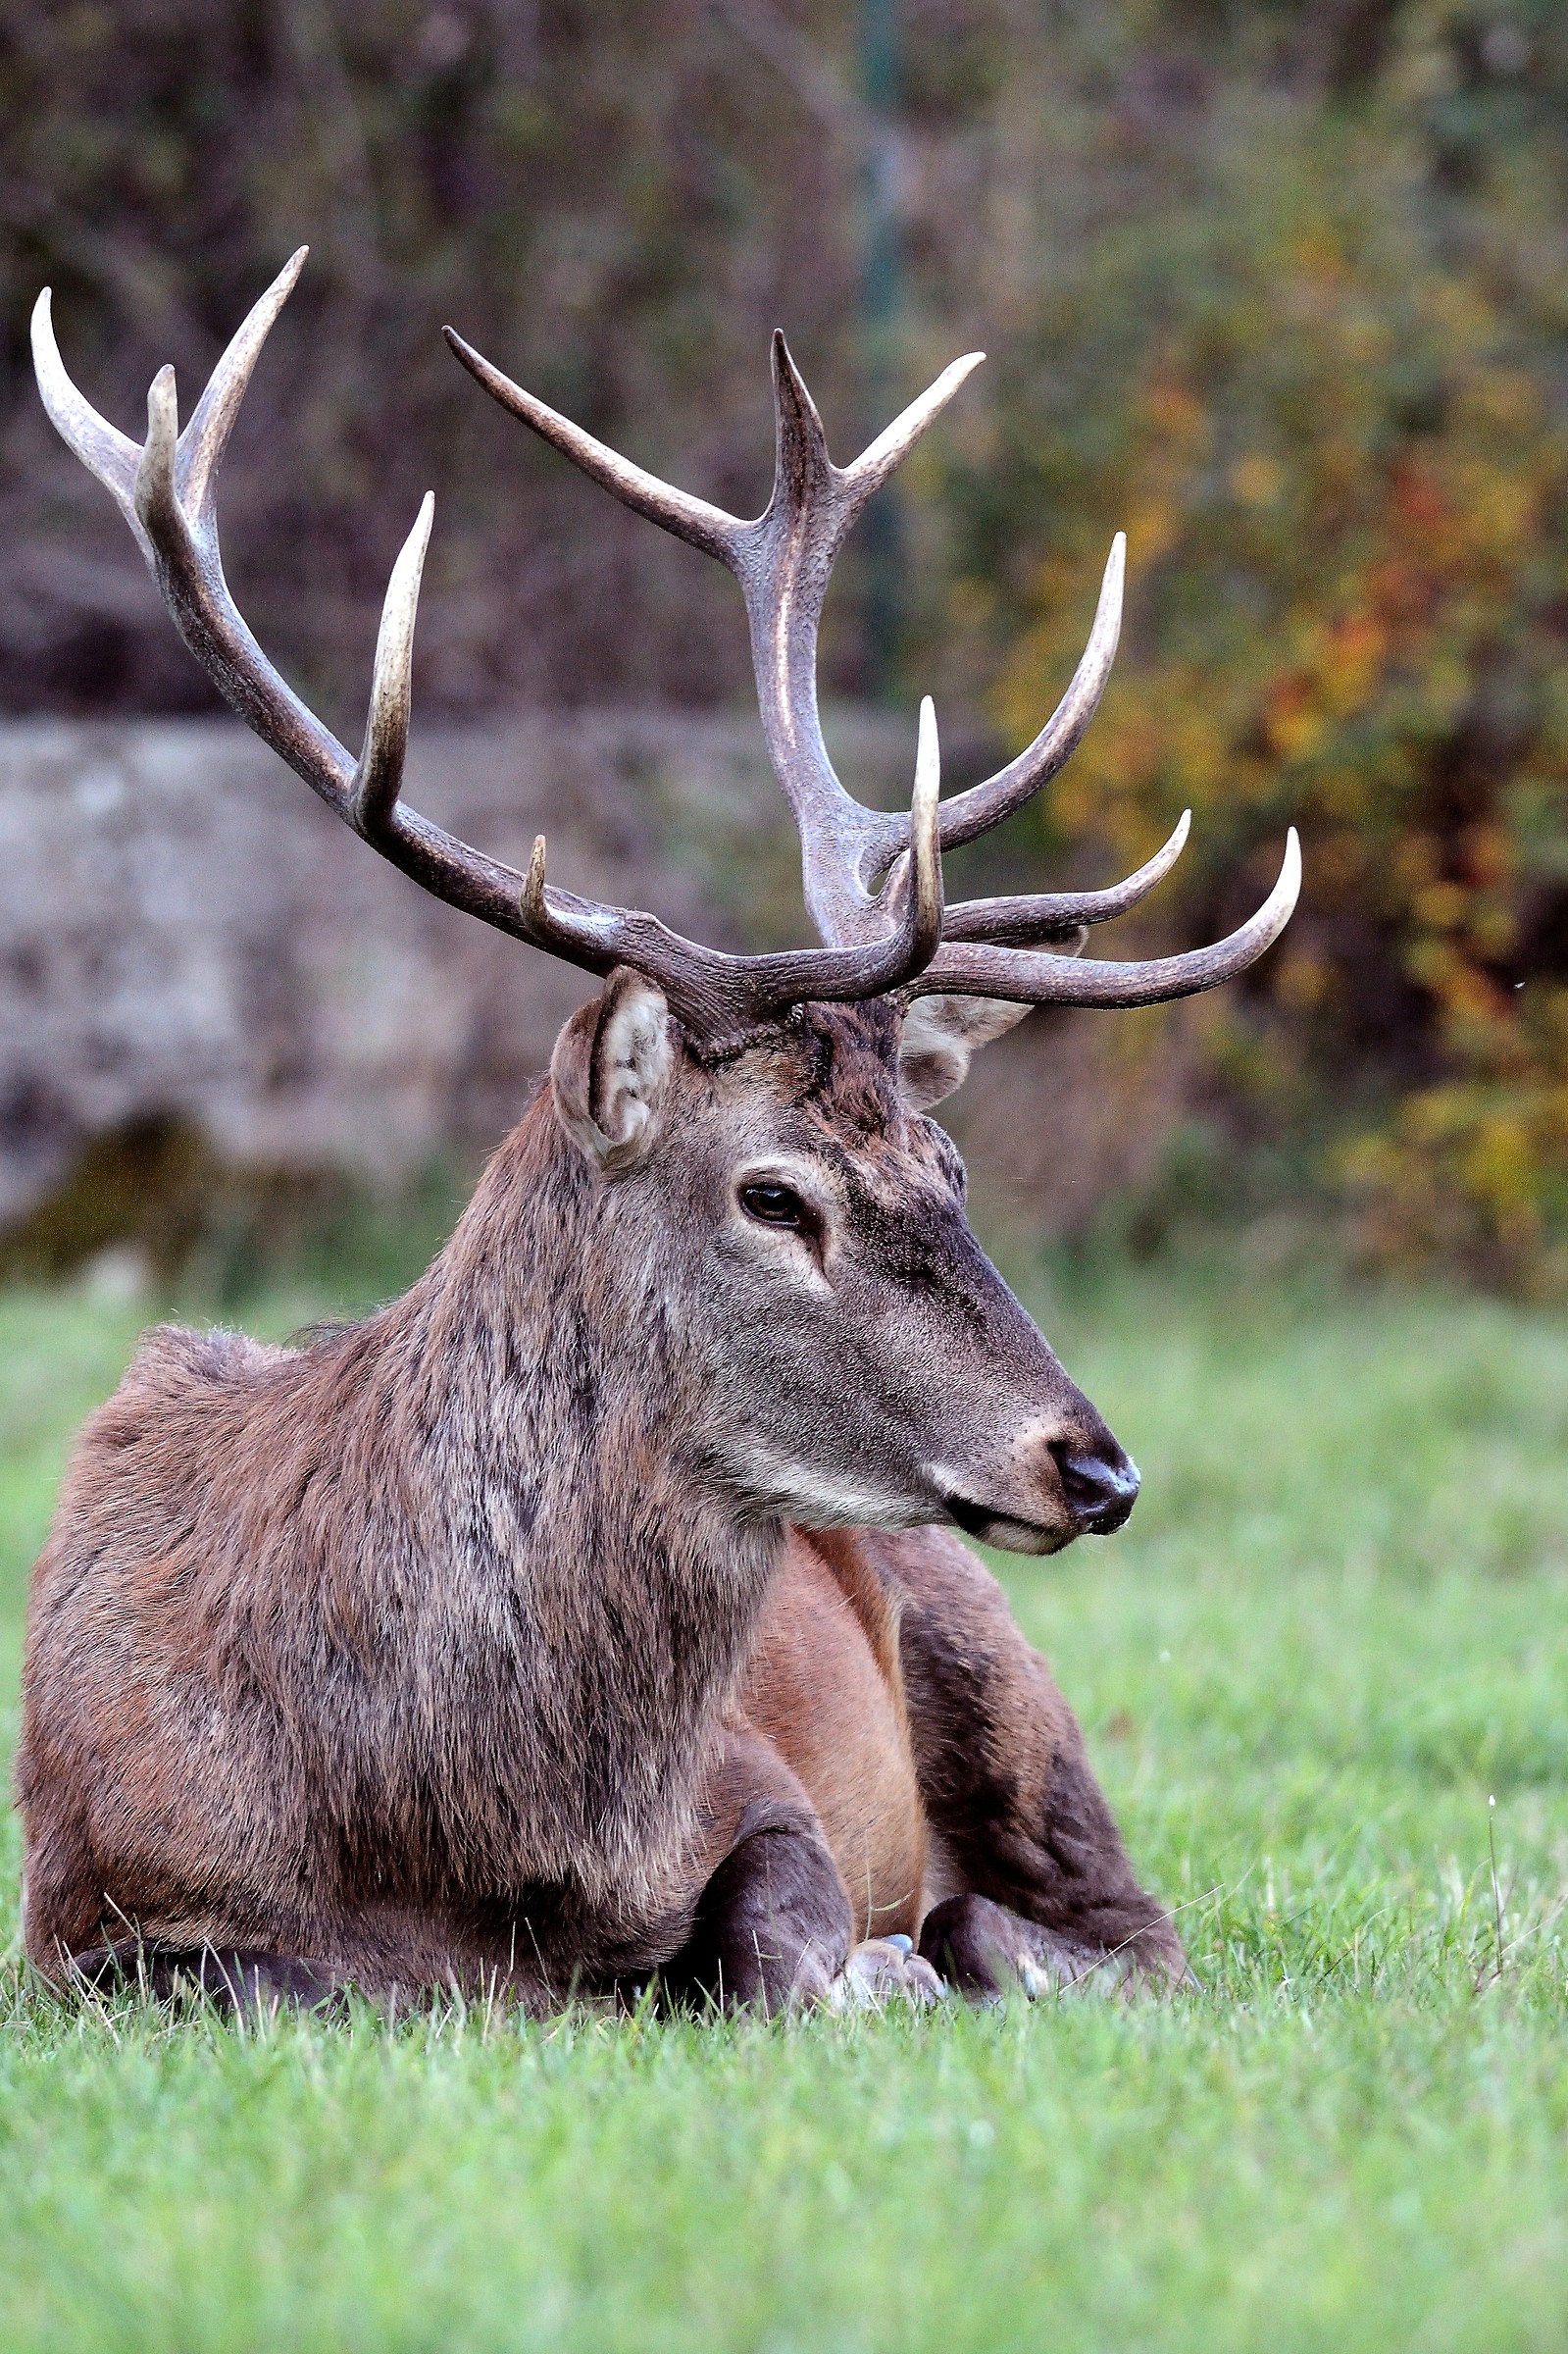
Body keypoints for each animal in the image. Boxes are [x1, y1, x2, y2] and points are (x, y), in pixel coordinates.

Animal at [18, 251, 1299, 2015]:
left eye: (951, 1169)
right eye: (773, 1196)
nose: (1092, 1464)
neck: (436, 1831)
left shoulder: (754, 1792)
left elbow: (767, 1943)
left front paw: (868, 1974)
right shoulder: (82, 1907)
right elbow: (262, 1973)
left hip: (993, 1661)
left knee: (1119, 1927)